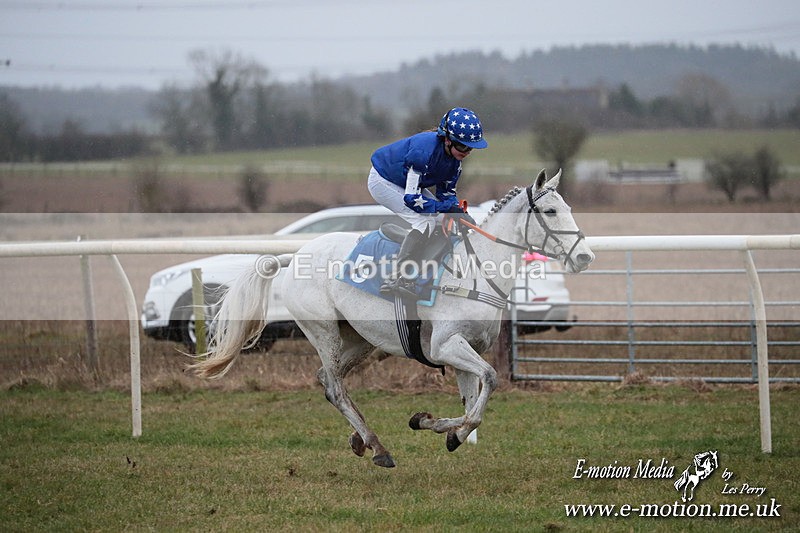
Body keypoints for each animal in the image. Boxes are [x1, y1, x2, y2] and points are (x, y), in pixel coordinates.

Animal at [190, 168, 594, 468]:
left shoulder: (465, 351)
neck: (475, 272)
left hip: (360, 340)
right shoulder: (446, 345)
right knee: (334, 386)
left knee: (326, 378)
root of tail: (293, 258)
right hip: (324, 332)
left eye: (568, 206)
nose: (585, 257)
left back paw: (361, 440)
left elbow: (472, 404)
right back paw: (377, 447)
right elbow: (489, 383)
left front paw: (443, 429)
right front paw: (439, 427)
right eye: (551, 211)